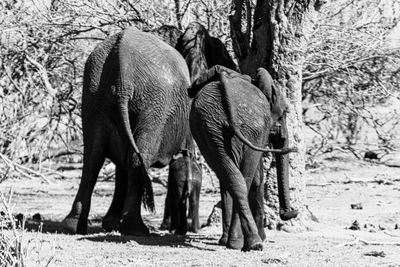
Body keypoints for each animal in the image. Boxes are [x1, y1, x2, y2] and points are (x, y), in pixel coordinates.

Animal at [63, 26, 194, 237]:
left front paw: (110, 224)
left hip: (94, 94)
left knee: (93, 158)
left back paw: (73, 226)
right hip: (156, 102)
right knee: (137, 157)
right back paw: (136, 229)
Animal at [189, 65, 298, 251]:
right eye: (284, 113)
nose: (291, 212)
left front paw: (223, 241)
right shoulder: (261, 133)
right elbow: (257, 179)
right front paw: (263, 237)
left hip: (209, 127)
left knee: (232, 178)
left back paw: (235, 242)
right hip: (251, 126)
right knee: (245, 178)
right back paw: (252, 242)